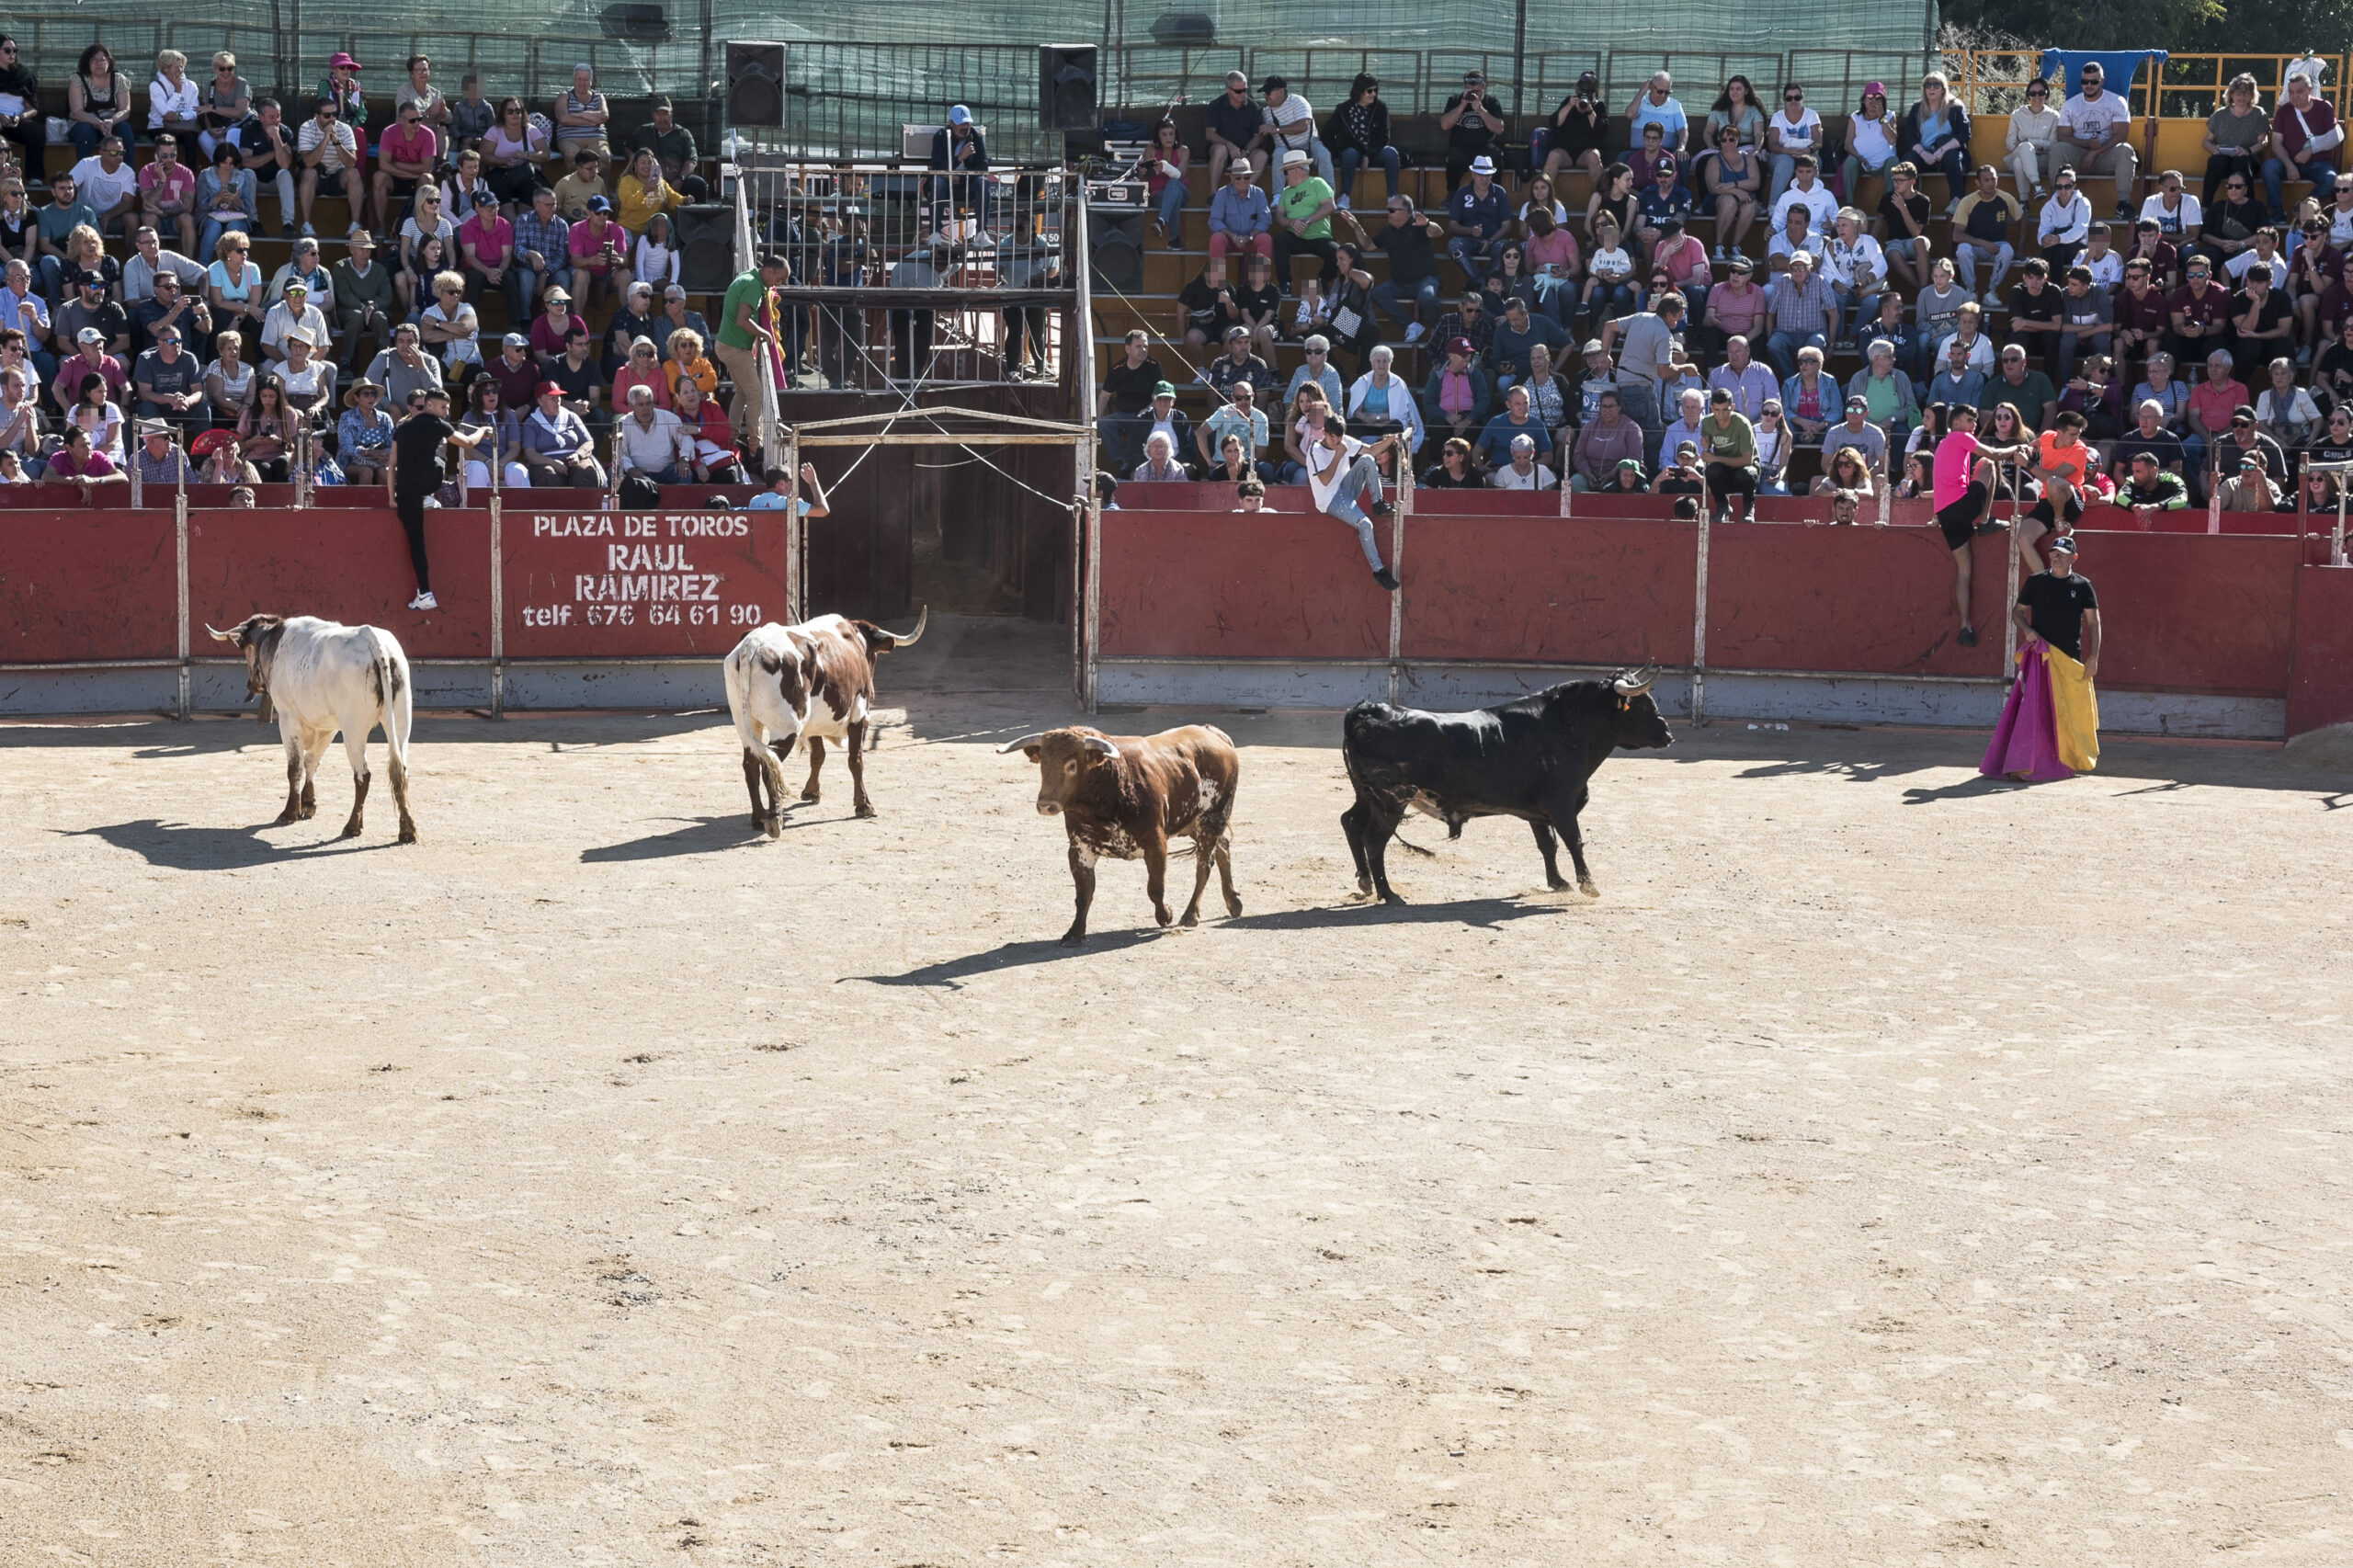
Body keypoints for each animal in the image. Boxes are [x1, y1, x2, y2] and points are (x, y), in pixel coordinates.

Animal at [720, 602, 922, 837]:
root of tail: (753, 645)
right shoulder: (860, 715)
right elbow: (855, 760)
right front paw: (863, 805)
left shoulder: (811, 725)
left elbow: (818, 755)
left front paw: (811, 791)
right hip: (786, 728)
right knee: (770, 767)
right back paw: (774, 819)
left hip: (748, 725)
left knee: (751, 765)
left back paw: (758, 817)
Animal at [997, 720, 1251, 941]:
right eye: (1043, 762)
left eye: (1072, 765)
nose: (1045, 805)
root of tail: (1214, 734)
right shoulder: (1079, 848)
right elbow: (1084, 894)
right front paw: (1075, 932)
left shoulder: (1156, 843)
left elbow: (1155, 888)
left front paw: (1165, 915)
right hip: (1195, 823)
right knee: (1223, 847)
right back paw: (1233, 902)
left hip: (1212, 818)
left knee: (1204, 866)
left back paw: (1190, 914)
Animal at [1346, 664, 1675, 903]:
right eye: (1642, 705)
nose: (1668, 735)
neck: (1565, 726)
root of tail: (1369, 709)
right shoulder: (1561, 805)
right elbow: (1574, 841)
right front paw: (1588, 885)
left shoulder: (1539, 813)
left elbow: (1548, 845)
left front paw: (1559, 882)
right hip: (1392, 802)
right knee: (1374, 841)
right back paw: (1389, 894)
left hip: (1367, 797)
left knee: (1350, 823)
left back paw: (1365, 881)